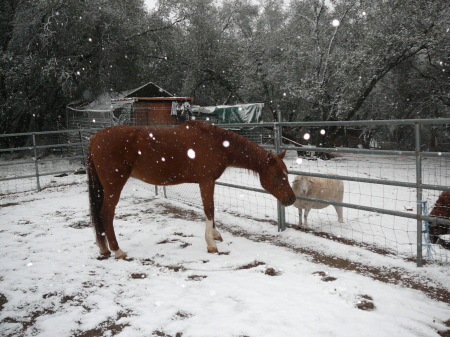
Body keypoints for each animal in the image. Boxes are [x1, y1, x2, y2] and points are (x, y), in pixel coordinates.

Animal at [88, 119, 298, 258]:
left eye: (287, 173)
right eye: (278, 175)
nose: (291, 199)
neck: (218, 144)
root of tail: (94, 138)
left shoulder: (208, 182)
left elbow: (211, 209)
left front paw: (215, 235)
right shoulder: (206, 181)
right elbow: (209, 209)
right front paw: (211, 244)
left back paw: (104, 248)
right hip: (114, 185)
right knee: (106, 213)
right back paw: (117, 250)